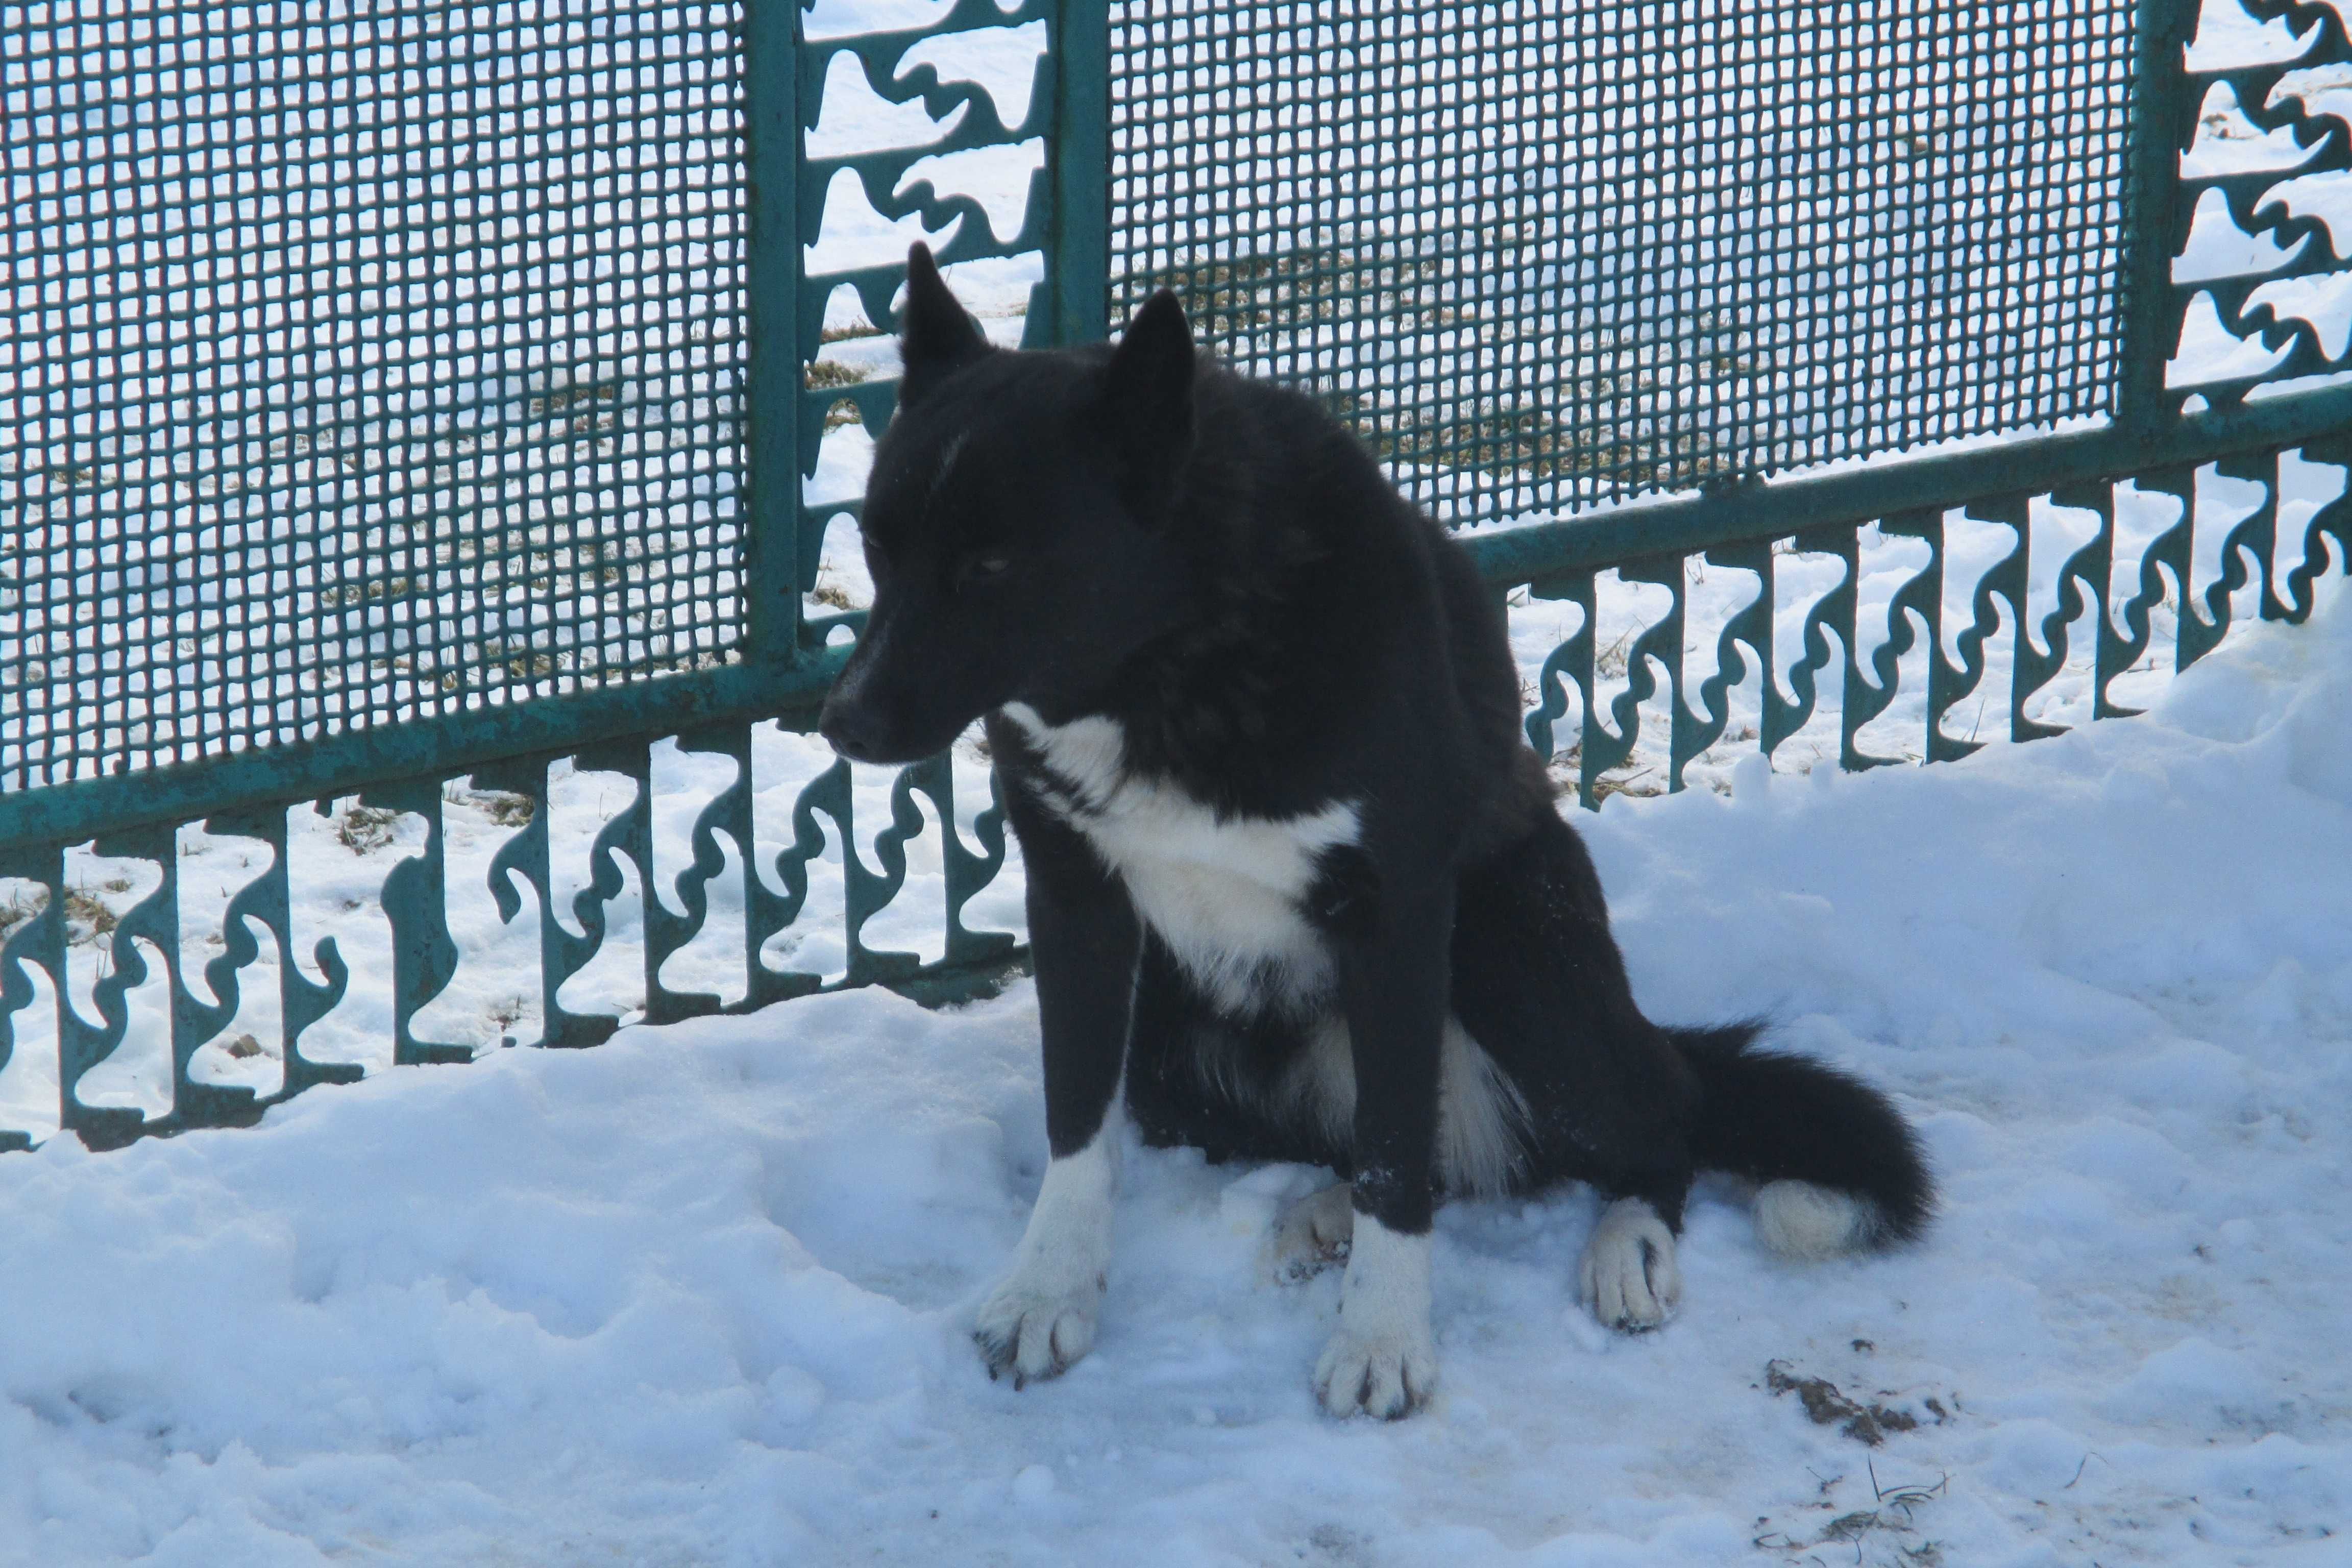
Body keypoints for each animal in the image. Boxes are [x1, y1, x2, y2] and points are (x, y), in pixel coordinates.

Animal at [814, 248, 1928, 1419]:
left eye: (990, 568)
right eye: (876, 546)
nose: (842, 722)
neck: (1177, 667)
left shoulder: (1396, 921)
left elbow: (1395, 1156)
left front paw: (1383, 1341)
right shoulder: (1077, 907)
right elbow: (1075, 1120)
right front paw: (1045, 1295)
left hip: (1507, 944)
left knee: (1648, 1124)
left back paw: (1626, 1246)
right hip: (1171, 1042)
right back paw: (1323, 1213)